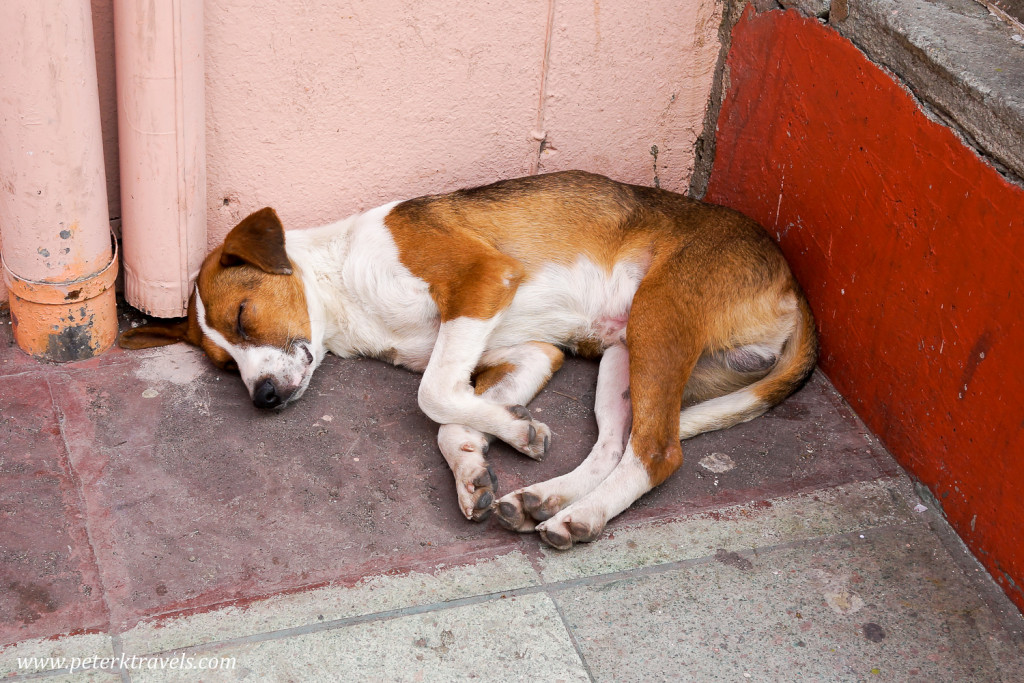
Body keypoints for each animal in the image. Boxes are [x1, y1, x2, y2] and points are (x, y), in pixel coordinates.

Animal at [119, 171, 819, 548]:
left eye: (243, 316)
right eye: (222, 366)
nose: (262, 397)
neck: (347, 286)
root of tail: (794, 287)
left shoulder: (483, 281)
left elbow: (431, 396)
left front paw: (505, 437)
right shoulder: (527, 351)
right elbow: (452, 412)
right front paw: (482, 461)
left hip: (659, 316)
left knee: (659, 450)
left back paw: (580, 517)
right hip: (623, 355)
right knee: (617, 444)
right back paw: (545, 500)